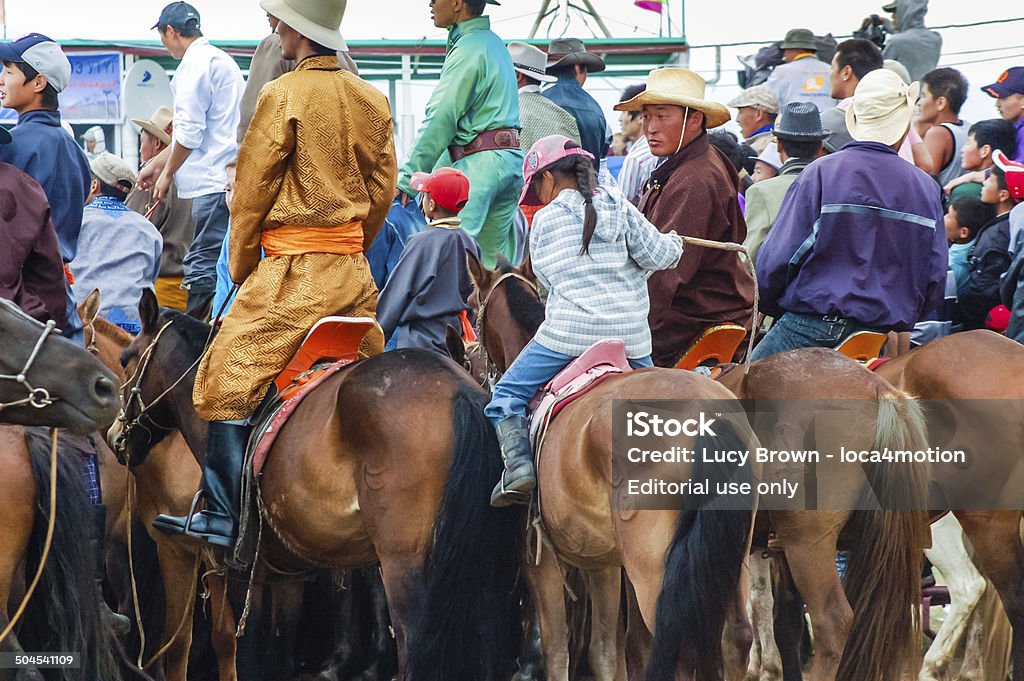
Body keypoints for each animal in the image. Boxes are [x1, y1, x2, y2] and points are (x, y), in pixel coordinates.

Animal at [110, 286, 528, 679]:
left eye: (126, 360)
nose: (117, 436)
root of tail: (459, 392)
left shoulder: (239, 569)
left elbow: (243, 655)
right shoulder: (287, 573)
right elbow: (278, 655)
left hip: (408, 572)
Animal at [475, 261, 933, 681]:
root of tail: (880, 389)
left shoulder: (544, 561)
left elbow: (564, 649)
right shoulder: (602, 561)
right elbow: (608, 650)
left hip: (795, 541)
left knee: (826, 624)